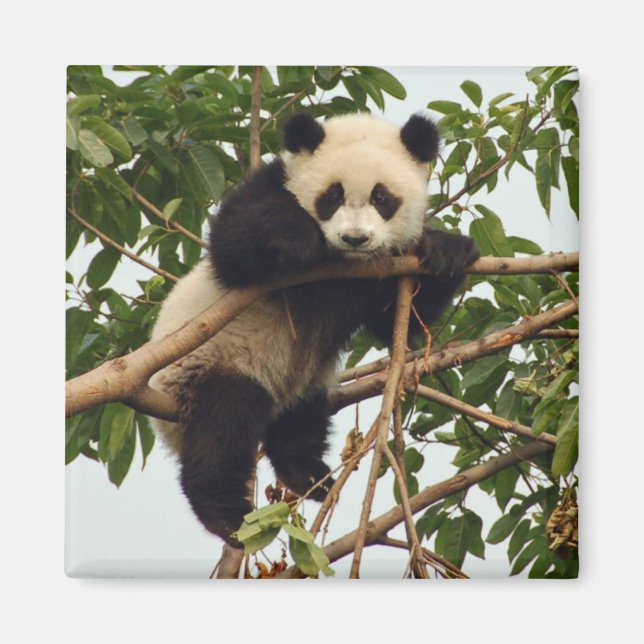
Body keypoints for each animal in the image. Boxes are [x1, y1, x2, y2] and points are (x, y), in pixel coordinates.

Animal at [149, 111, 480, 547]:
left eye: (381, 198)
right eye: (332, 195)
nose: (355, 238)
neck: (339, 264)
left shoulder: (377, 273)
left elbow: (397, 319)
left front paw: (446, 249)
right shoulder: (268, 188)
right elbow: (233, 243)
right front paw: (299, 237)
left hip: (300, 379)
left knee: (301, 421)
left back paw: (307, 474)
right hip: (209, 363)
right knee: (223, 424)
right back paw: (226, 512)